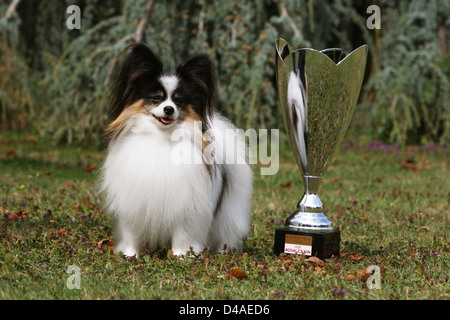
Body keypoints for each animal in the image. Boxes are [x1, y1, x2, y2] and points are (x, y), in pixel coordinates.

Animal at [100, 43, 253, 258]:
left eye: (179, 101)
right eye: (156, 98)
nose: (169, 109)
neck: (162, 137)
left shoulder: (187, 206)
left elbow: (183, 235)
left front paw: (181, 256)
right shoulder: (132, 200)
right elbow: (131, 233)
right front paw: (129, 255)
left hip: (229, 209)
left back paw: (224, 251)